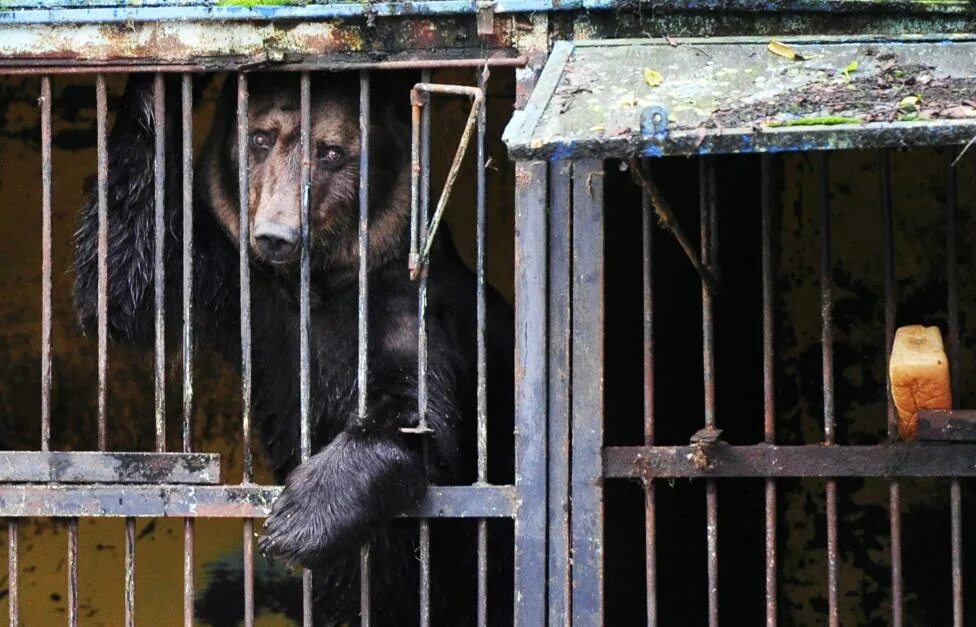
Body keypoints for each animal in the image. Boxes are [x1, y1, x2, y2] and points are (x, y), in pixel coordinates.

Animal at [72, 71, 516, 624]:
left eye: (331, 152)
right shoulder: (239, 284)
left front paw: (295, 521)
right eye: (261, 137)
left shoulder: (402, 303)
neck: (315, 285)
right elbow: (127, 275)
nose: (276, 235)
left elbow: (416, 413)